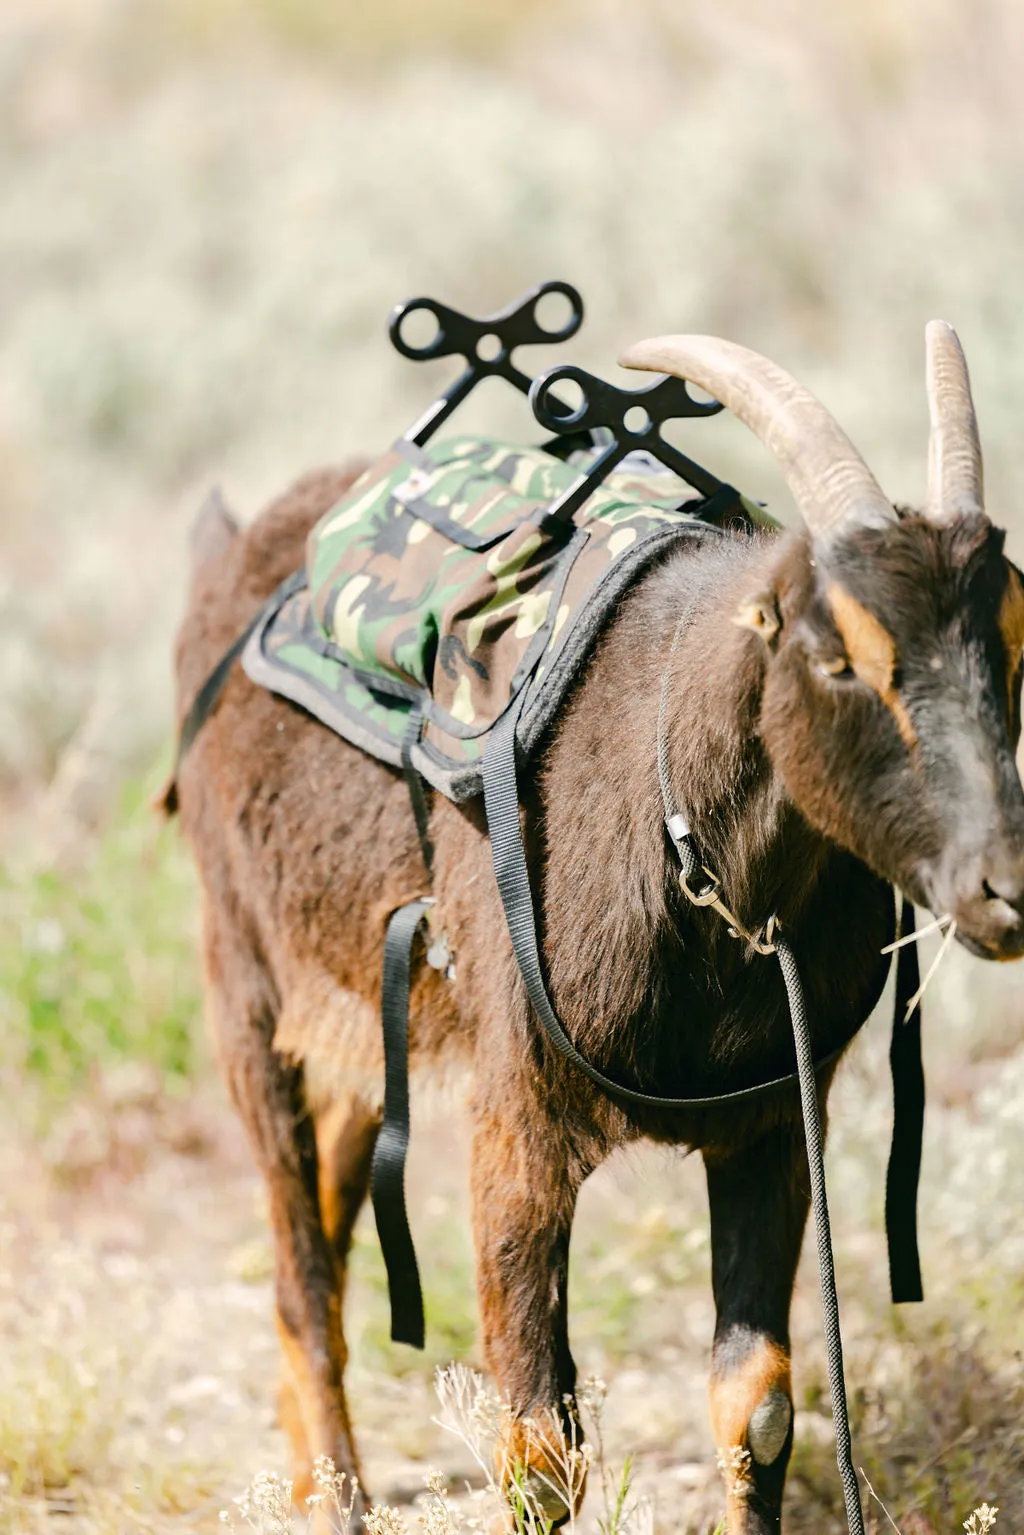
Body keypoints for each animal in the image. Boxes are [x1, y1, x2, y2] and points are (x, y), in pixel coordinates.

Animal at [166, 320, 1024, 1522]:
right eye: (834, 653)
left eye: (1016, 641)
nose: (1002, 885)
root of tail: (239, 546)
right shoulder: (516, 1110)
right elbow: (539, 1446)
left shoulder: (772, 1122)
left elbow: (757, 1405)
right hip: (243, 971)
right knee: (297, 1260)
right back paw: (335, 1497)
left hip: (356, 1002)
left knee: (332, 1209)